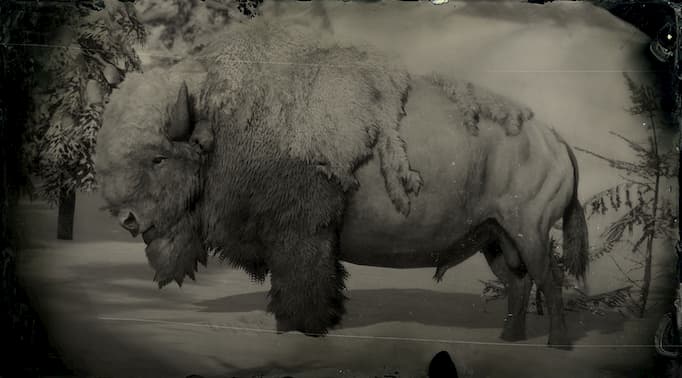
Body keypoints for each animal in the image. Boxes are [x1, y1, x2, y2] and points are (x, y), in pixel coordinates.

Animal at [94, 20, 584, 348]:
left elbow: (302, 291)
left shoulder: (301, 237)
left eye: (157, 157)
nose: (128, 219)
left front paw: (299, 332)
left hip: (529, 231)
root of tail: (554, 139)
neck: (221, 120)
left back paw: (557, 344)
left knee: (550, 279)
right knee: (519, 283)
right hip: (493, 238)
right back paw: (508, 339)